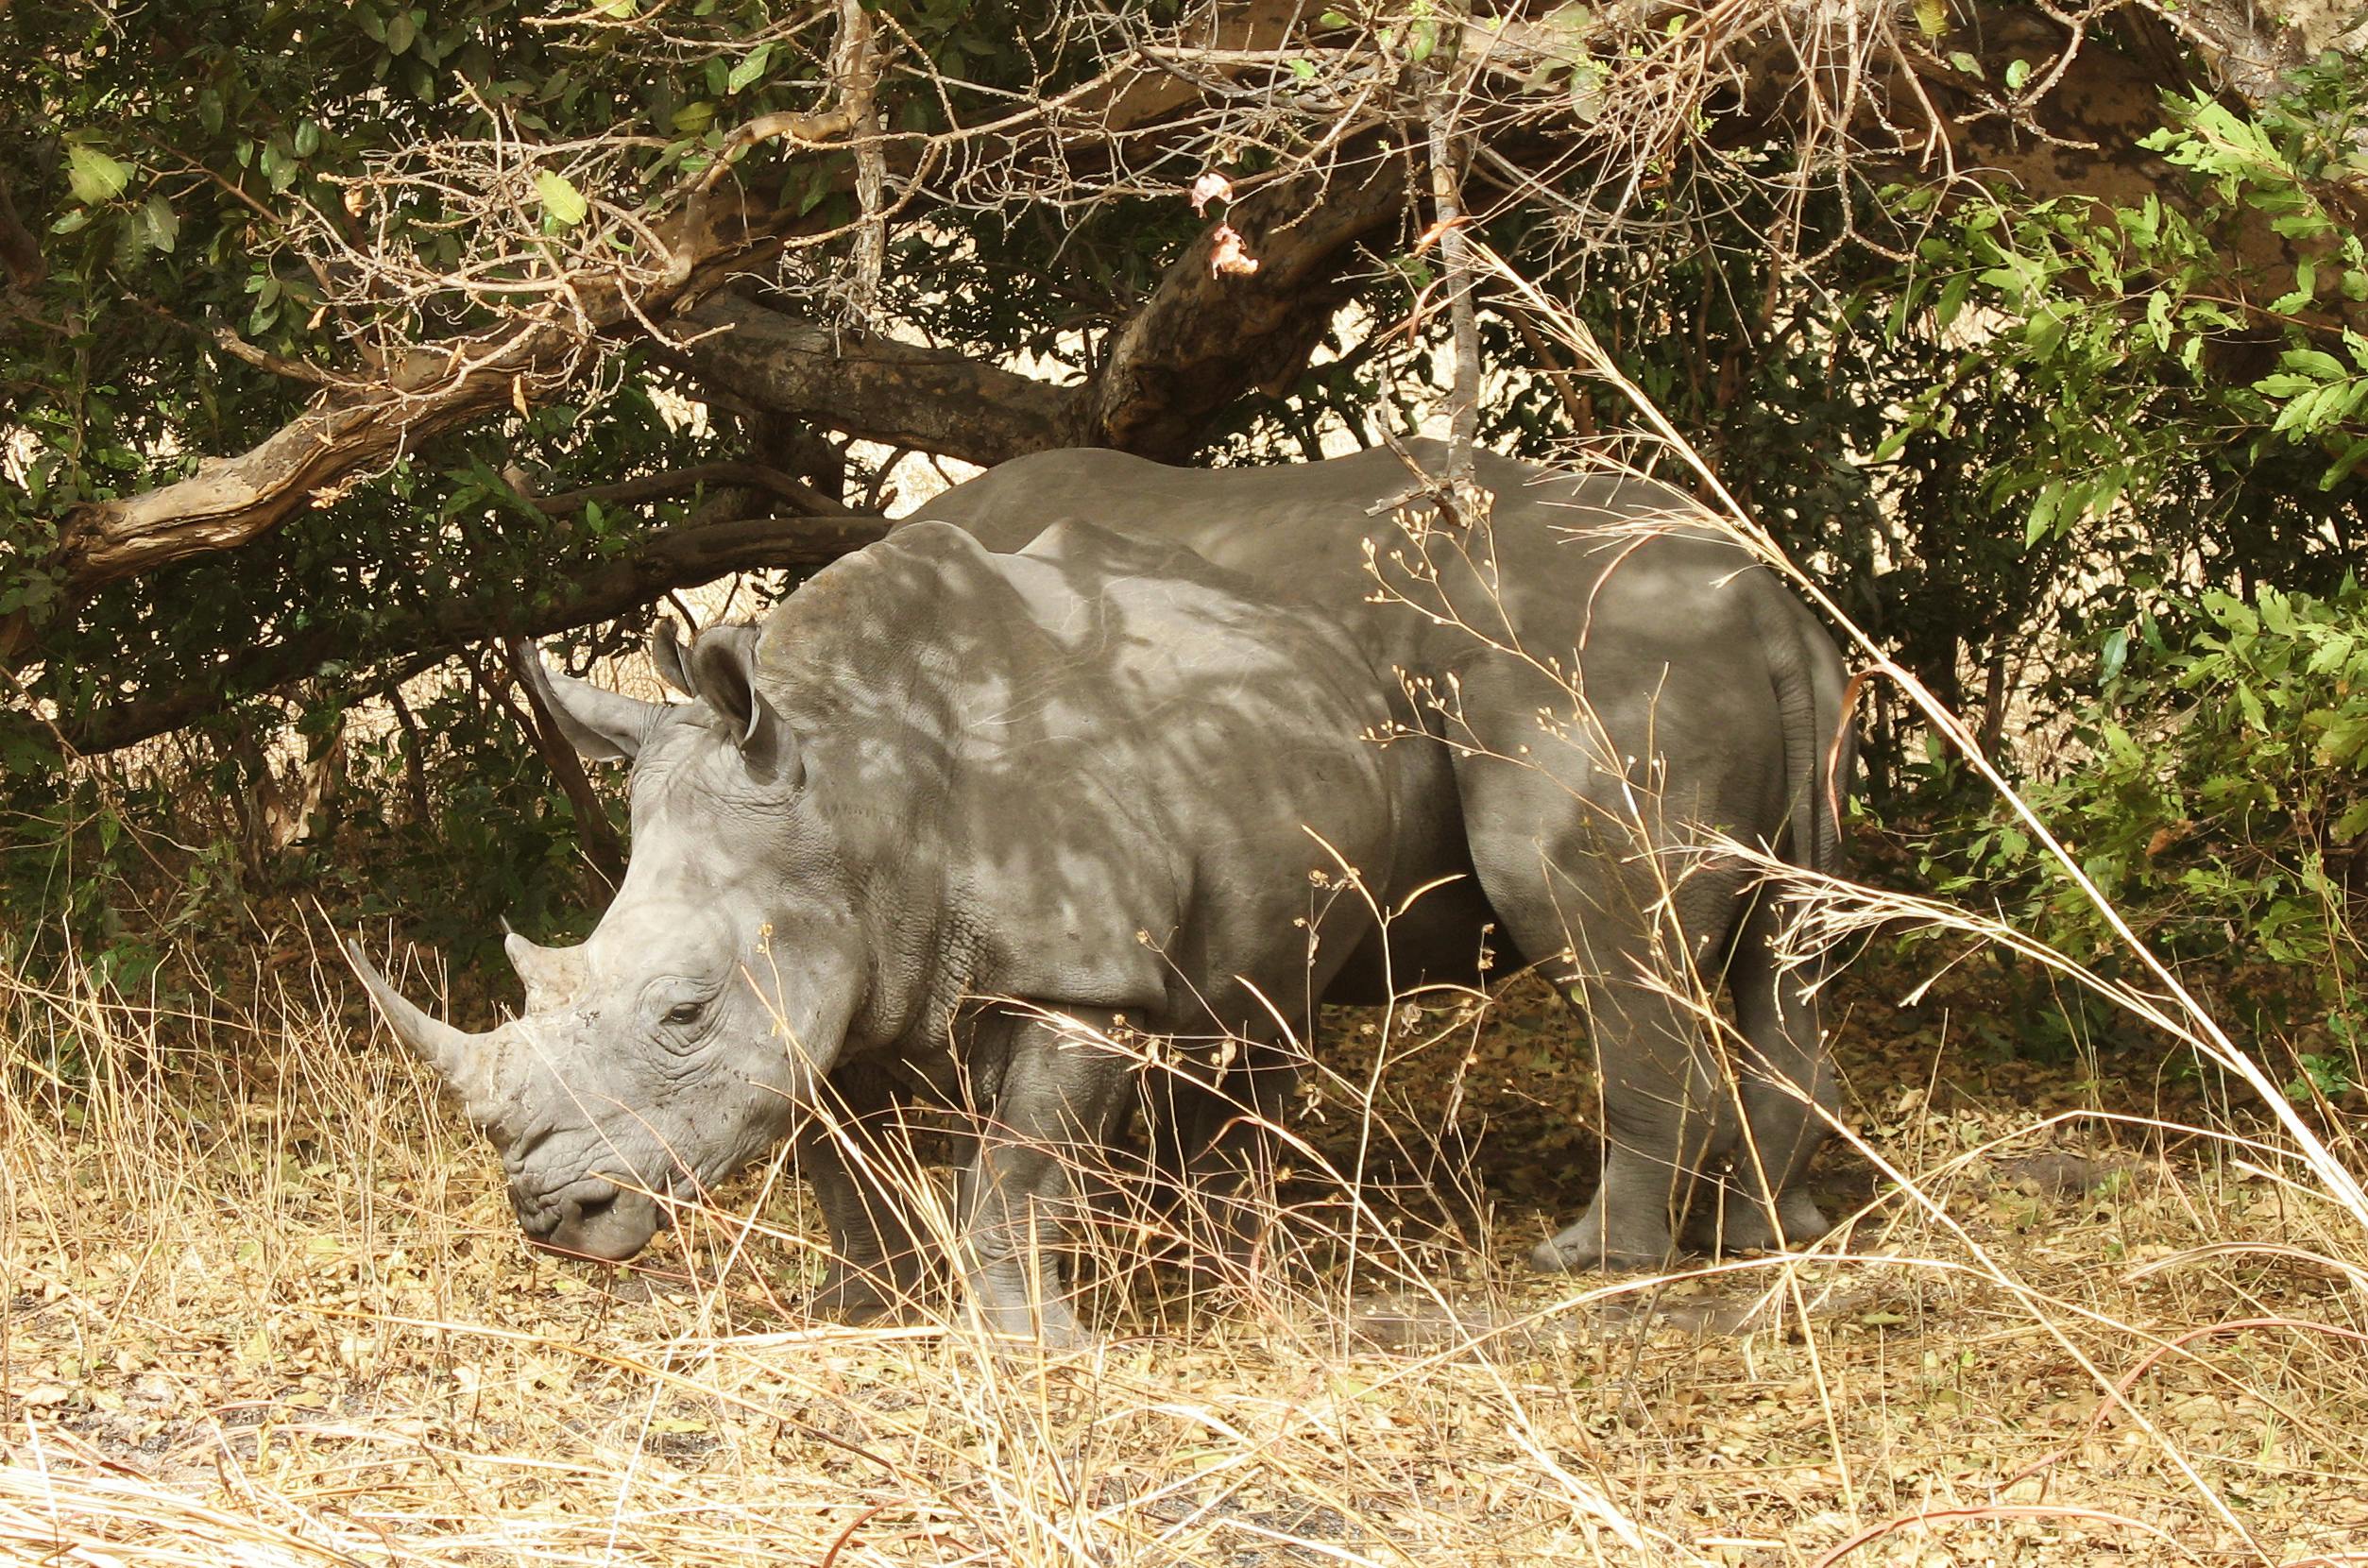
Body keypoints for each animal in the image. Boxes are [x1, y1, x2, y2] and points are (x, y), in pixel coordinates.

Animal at [351, 517, 1462, 1343]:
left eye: (685, 1012)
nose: (551, 1221)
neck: (849, 789)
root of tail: (1313, 633)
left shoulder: (1084, 981)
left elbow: (1023, 1172)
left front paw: (1034, 1347)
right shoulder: (822, 975)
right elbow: (840, 1167)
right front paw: (855, 1312)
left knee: (1268, 1024)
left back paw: (1231, 1277)